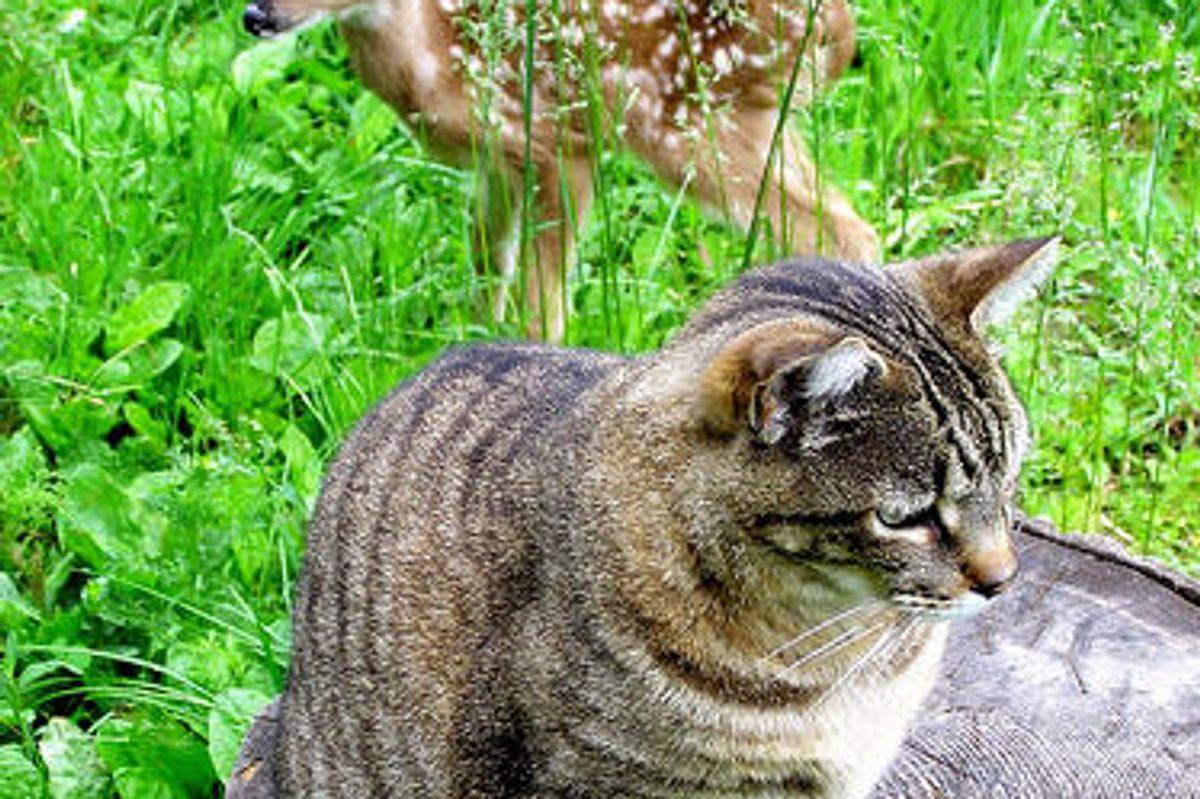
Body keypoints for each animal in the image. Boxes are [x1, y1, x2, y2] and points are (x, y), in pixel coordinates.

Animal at [242, 0, 880, 340]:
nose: (255, 15)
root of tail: (836, 29)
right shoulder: (499, 160)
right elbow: (487, 255)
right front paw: (472, 334)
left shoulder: (563, 147)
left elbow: (541, 297)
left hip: (692, 124)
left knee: (842, 230)